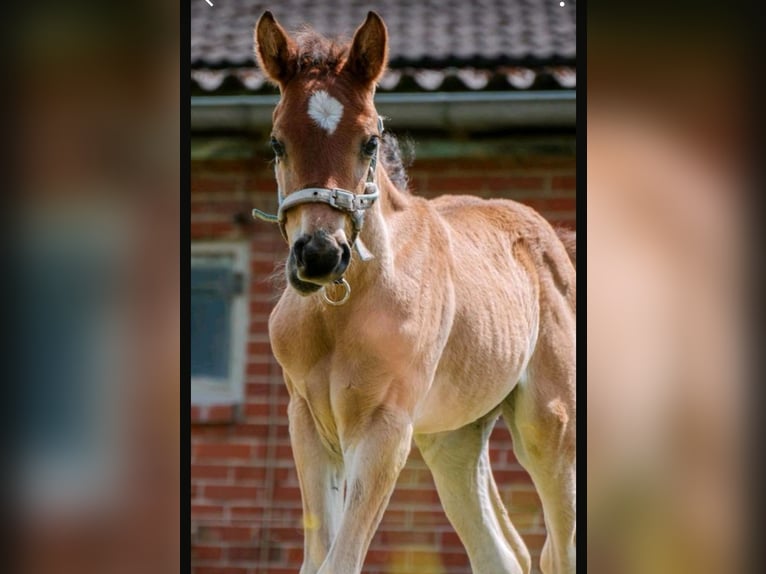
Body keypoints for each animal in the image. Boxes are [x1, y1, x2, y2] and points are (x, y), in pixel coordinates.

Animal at [255, 10, 580, 574]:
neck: (338, 312)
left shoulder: (385, 427)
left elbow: (342, 559)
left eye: (369, 141)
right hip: (453, 438)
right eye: (277, 142)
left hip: (550, 426)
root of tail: (549, 236)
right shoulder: (307, 422)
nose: (320, 255)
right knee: (501, 554)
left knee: (559, 551)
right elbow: (318, 556)